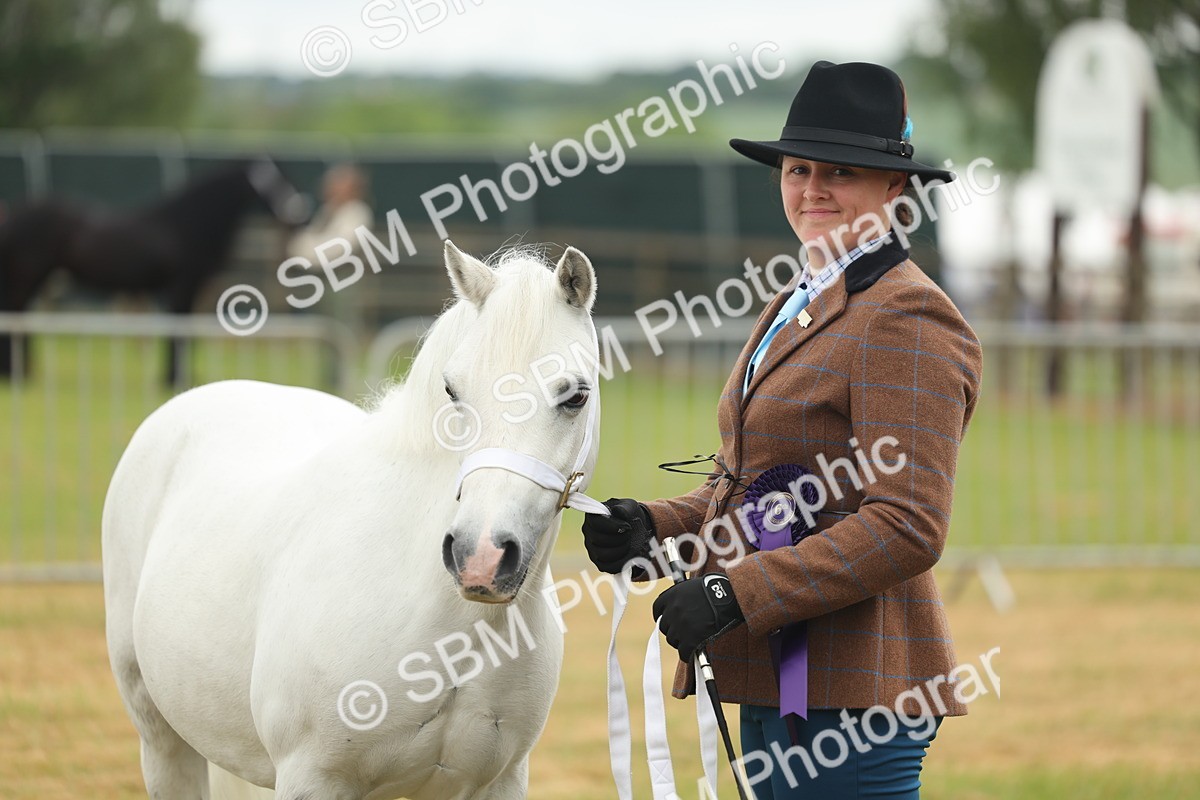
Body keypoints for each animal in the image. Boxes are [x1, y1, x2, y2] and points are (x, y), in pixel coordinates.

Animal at [0, 158, 308, 384]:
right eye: (272, 181)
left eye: (285, 177)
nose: (297, 214)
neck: (188, 221)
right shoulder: (182, 285)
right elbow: (178, 329)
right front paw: (173, 378)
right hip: (28, 275)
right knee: (16, 313)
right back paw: (15, 373)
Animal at [102, 241, 604, 800]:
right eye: (452, 390)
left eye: (576, 395)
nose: (481, 558)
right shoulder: (312, 778)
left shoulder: (498, 782)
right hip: (162, 740)